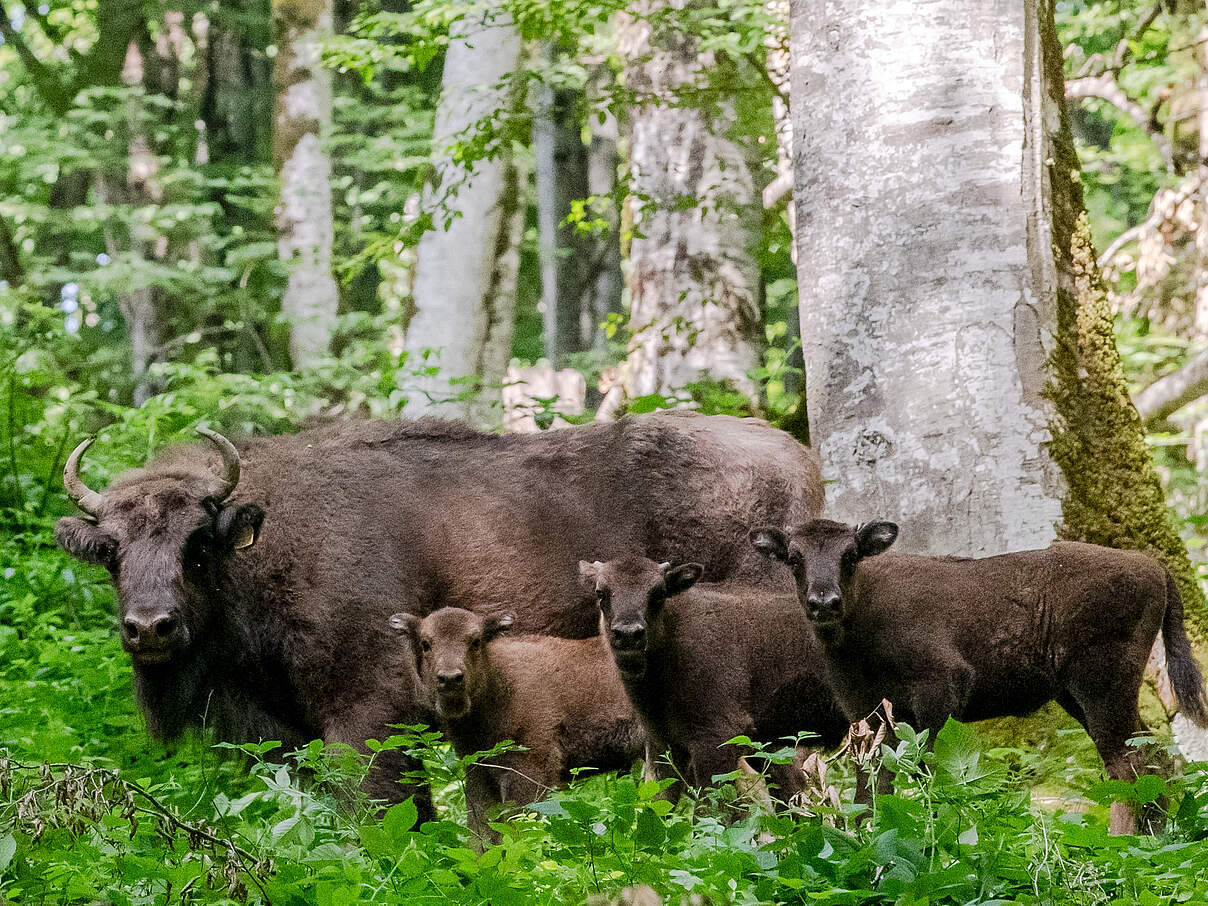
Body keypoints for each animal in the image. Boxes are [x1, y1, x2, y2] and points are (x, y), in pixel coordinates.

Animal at [49, 410, 821, 816]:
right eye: (111, 550)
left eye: (199, 546)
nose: (150, 628)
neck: (271, 540)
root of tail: (800, 462)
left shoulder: (367, 717)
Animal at [391, 606, 647, 850]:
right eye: (425, 643)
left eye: (476, 641)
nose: (451, 678)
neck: (499, 684)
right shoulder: (479, 773)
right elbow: (482, 834)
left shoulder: (531, 771)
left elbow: (518, 831)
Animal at [744, 517, 1208, 835]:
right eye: (795, 557)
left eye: (850, 555)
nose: (824, 602)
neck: (865, 611)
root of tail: (1156, 568)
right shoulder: (867, 712)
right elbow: (872, 785)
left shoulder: (940, 689)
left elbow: (928, 769)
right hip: (1078, 696)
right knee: (1153, 756)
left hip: (1102, 687)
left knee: (1127, 764)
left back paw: (1122, 842)